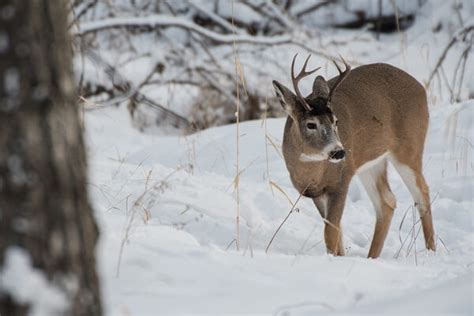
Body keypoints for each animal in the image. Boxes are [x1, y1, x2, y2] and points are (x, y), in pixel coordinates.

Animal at [272, 55, 436, 258]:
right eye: (310, 124)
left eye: (336, 121)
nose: (339, 151)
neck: (312, 171)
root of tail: (421, 88)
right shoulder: (317, 192)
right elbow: (336, 232)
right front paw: (339, 257)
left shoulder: (342, 180)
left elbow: (330, 233)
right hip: (370, 162)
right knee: (387, 201)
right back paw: (372, 257)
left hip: (409, 146)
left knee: (422, 192)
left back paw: (431, 251)